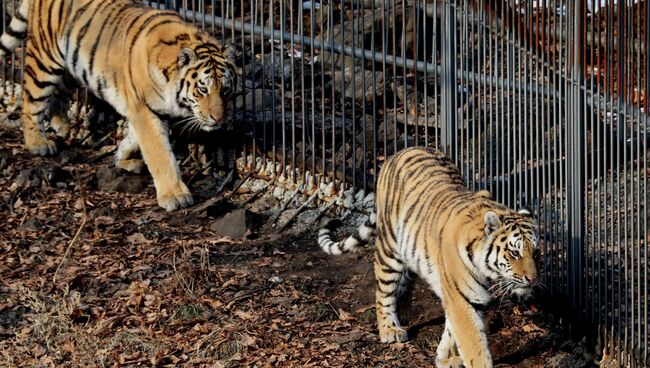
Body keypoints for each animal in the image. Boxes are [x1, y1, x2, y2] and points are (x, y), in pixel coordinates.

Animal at [0, 0, 238, 211]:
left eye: (225, 90)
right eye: (203, 89)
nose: (219, 119)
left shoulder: (146, 111)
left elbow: (135, 138)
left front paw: (122, 157)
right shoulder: (144, 109)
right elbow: (159, 153)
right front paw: (175, 196)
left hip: (72, 64)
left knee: (59, 91)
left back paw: (61, 124)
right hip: (45, 58)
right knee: (31, 99)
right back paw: (38, 142)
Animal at [318, 147, 536, 368]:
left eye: (534, 251)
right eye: (514, 252)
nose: (533, 279)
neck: (484, 268)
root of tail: (399, 152)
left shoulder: (464, 298)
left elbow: (451, 330)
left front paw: (444, 358)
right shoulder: (463, 298)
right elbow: (473, 343)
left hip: (413, 252)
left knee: (404, 282)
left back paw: (403, 313)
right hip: (389, 249)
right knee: (383, 291)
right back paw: (389, 329)